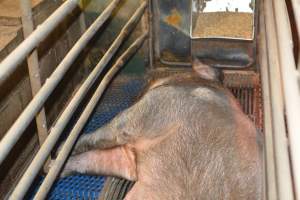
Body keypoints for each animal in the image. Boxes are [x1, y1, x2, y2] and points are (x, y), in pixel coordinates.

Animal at [58, 60, 262, 199]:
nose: (146, 80)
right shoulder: (127, 159)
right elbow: (90, 160)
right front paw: (58, 168)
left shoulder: (147, 111)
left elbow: (98, 136)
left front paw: (58, 151)